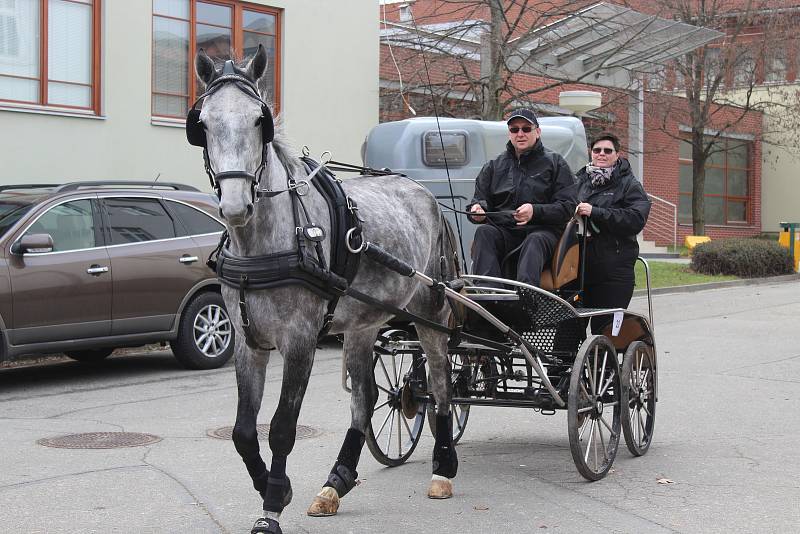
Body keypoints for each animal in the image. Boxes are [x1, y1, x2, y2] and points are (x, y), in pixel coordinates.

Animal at [191, 46, 460, 534]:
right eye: (202, 123)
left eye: (259, 120)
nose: (235, 206)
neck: (266, 241)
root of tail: (422, 191)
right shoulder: (248, 341)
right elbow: (243, 431)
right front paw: (273, 487)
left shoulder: (299, 341)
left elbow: (281, 428)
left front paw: (272, 505)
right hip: (361, 325)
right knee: (365, 399)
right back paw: (337, 480)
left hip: (430, 311)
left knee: (441, 382)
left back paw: (443, 469)